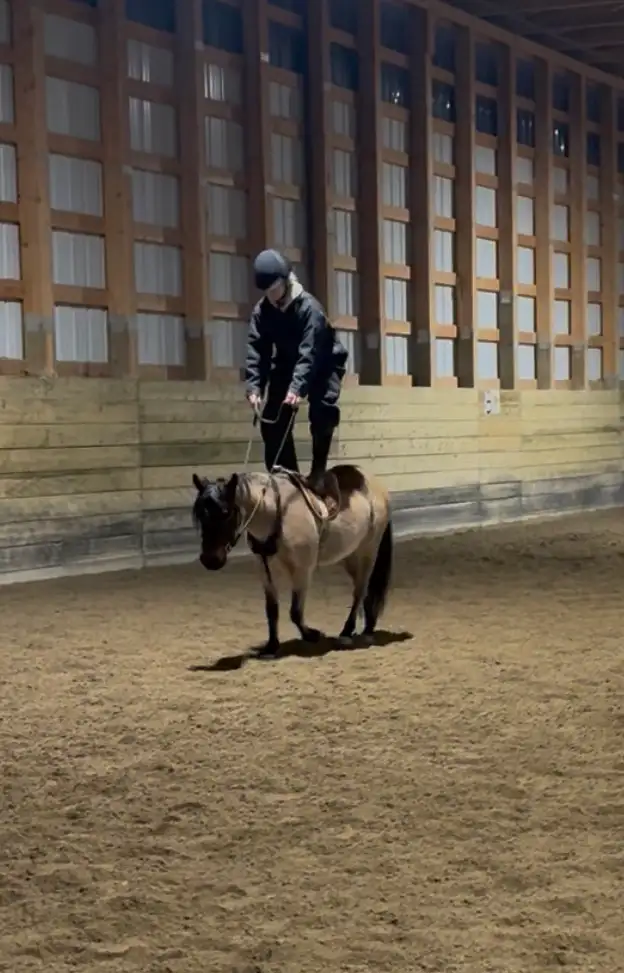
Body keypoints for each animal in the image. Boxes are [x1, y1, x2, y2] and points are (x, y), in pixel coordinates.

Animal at [191, 464, 393, 657]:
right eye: (200, 514)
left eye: (226, 512)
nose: (210, 559)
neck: (276, 513)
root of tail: (373, 482)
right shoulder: (265, 568)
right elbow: (272, 610)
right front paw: (271, 646)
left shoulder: (302, 570)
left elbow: (295, 612)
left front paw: (312, 635)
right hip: (349, 556)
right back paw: (368, 628)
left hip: (368, 551)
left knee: (360, 590)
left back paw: (348, 632)